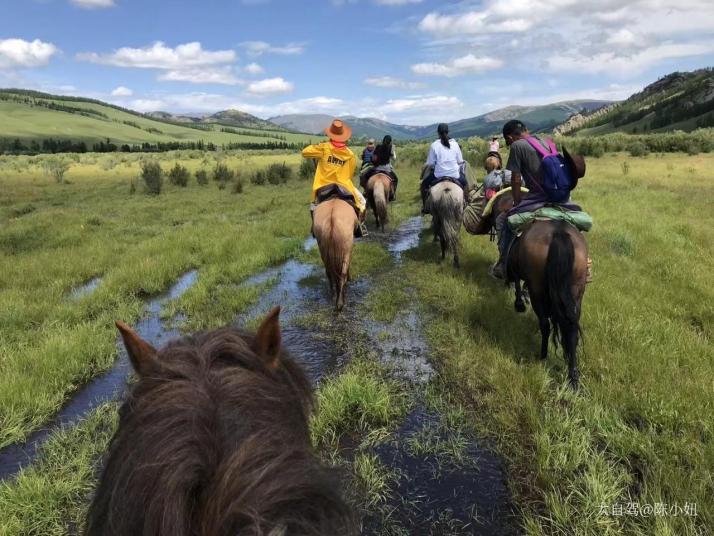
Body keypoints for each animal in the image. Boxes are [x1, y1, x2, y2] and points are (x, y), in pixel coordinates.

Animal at [504, 221, 588, 390]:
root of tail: (559, 233)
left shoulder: (517, 271)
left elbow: (517, 283)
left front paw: (519, 304)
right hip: (576, 292)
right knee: (572, 332)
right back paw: (573, 378)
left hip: (537, 290)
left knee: (545, 325)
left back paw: (542, 356)